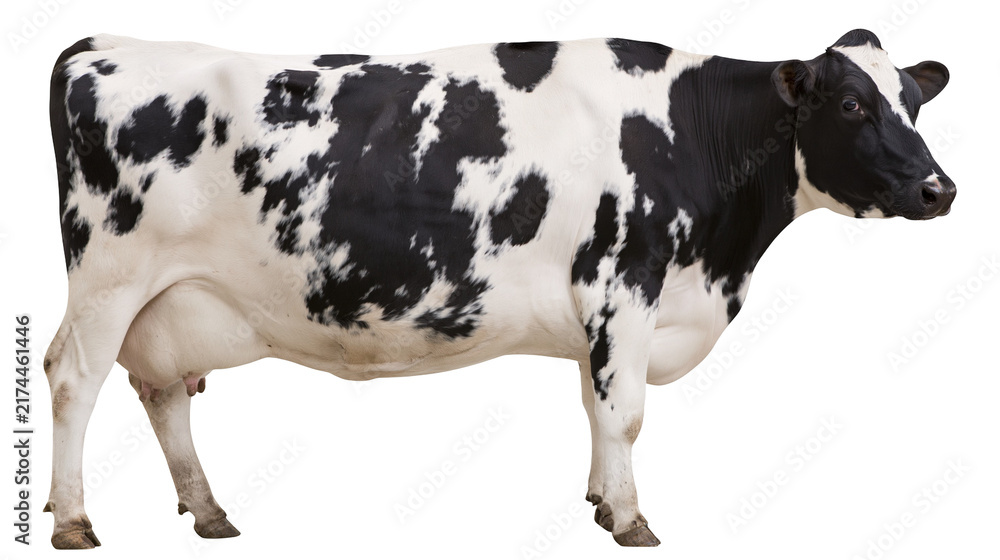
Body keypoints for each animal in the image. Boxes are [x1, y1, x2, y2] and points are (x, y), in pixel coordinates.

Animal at [44, 28, 954, 548]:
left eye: (913, 100)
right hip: (110, 277)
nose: (939, 189)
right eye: (850, 103)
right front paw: (632, 521)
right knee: (72, 380)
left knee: (161, 391)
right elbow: (625, 414)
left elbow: (593, 405)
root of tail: (99, 42)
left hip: (163, 298)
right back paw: (74, 520)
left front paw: (598, 501)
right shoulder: (625, 282)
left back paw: (207, 511)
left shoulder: (601, 315)